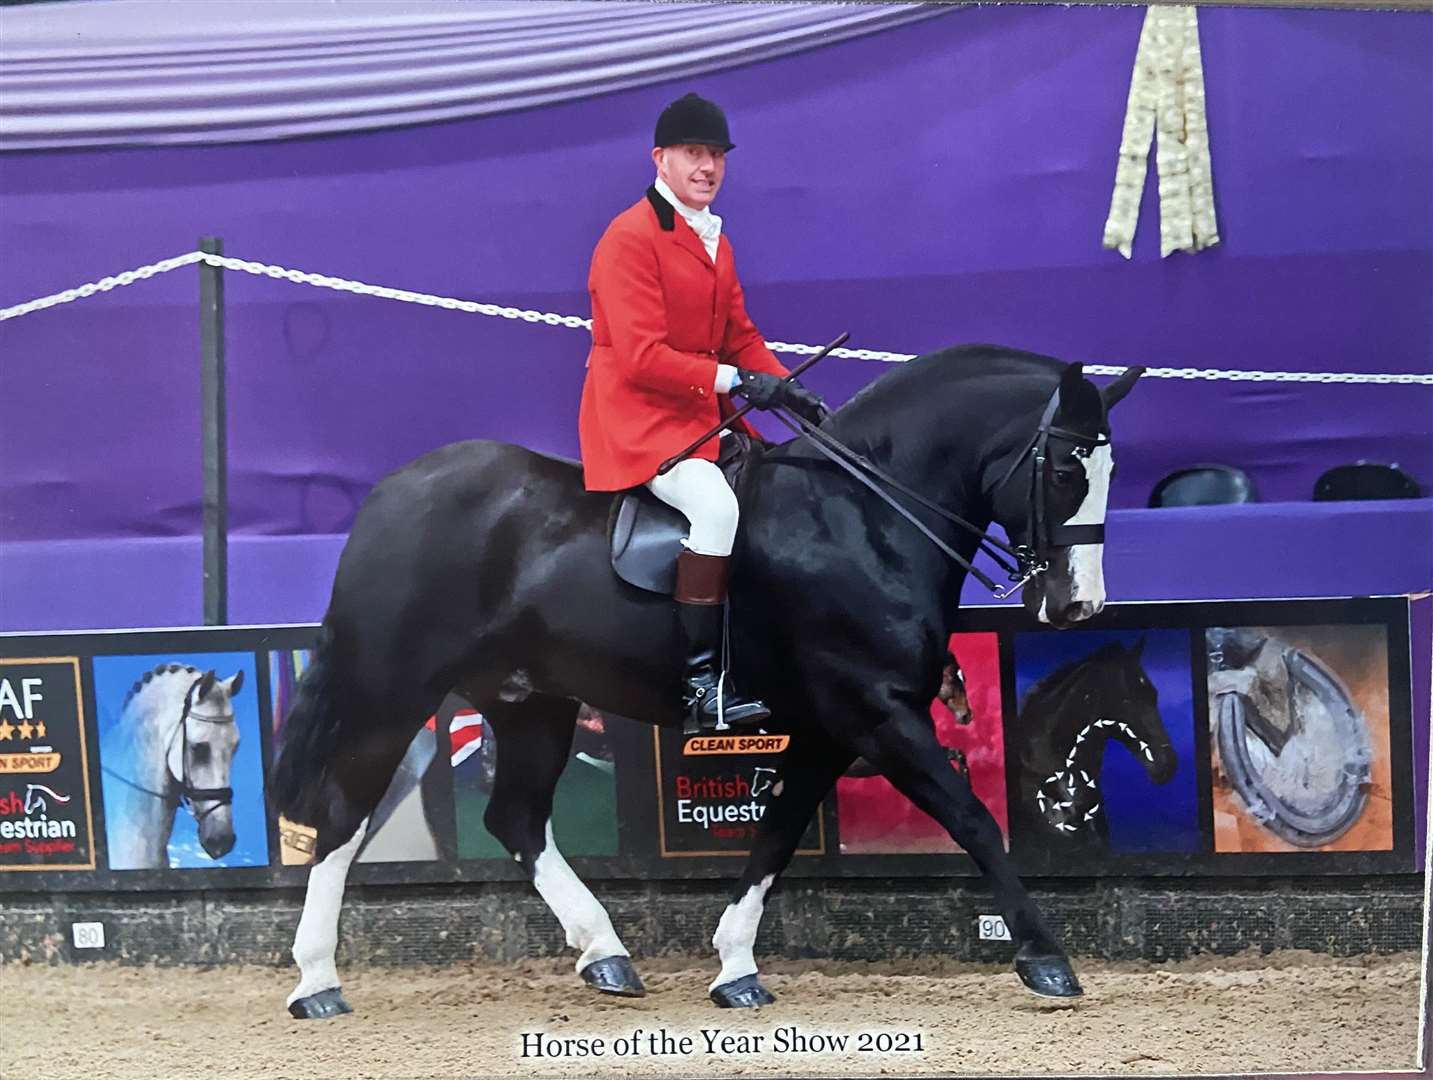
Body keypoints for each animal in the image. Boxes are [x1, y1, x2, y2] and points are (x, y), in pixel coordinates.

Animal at [269, 340, 1140, 1014]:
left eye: (1109, 469)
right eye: (1064, 469)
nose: (1077, 604)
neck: (863, 515)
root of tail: (392, 492)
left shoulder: (827, 729)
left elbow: (777, 835)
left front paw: (735, 968)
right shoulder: (878, 713)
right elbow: (971, 819)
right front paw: (1046, 959)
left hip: (530, 701)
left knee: (515, 819)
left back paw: (606, 955)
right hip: (392, 692)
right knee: (342, 817)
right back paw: (316, 983)